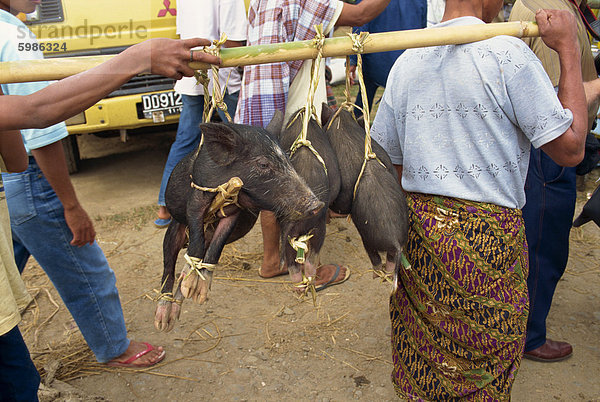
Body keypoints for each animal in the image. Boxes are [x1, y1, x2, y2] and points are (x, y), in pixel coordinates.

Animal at [155, 121, 324, 332]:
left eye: (288, 161)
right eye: (263, 164)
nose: (317, 204)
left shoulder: (233, 212)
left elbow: (217, 246)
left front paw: (199, 296)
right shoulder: (198, 195)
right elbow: (196, 236)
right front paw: (191, 288)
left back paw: (184, 296)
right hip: (174, 231)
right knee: (169, 267)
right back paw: (164, 322)